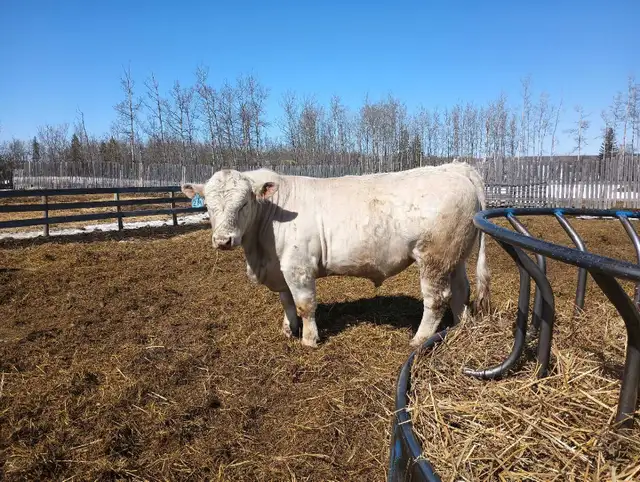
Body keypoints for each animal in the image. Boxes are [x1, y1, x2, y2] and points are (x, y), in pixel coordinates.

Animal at [181, 161, 491, 348]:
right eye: (207, 205)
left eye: (244, 203)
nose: (223, 240)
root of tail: (453, 168)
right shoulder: (280, 269)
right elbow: (286, 302)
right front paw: (288, 329)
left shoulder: (299, 267)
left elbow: (305, 305)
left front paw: (309, 340)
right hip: (455, 256)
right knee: (461, 291)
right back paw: (462, 327)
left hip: (433, 258)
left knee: (437, 299)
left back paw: (418, 340)